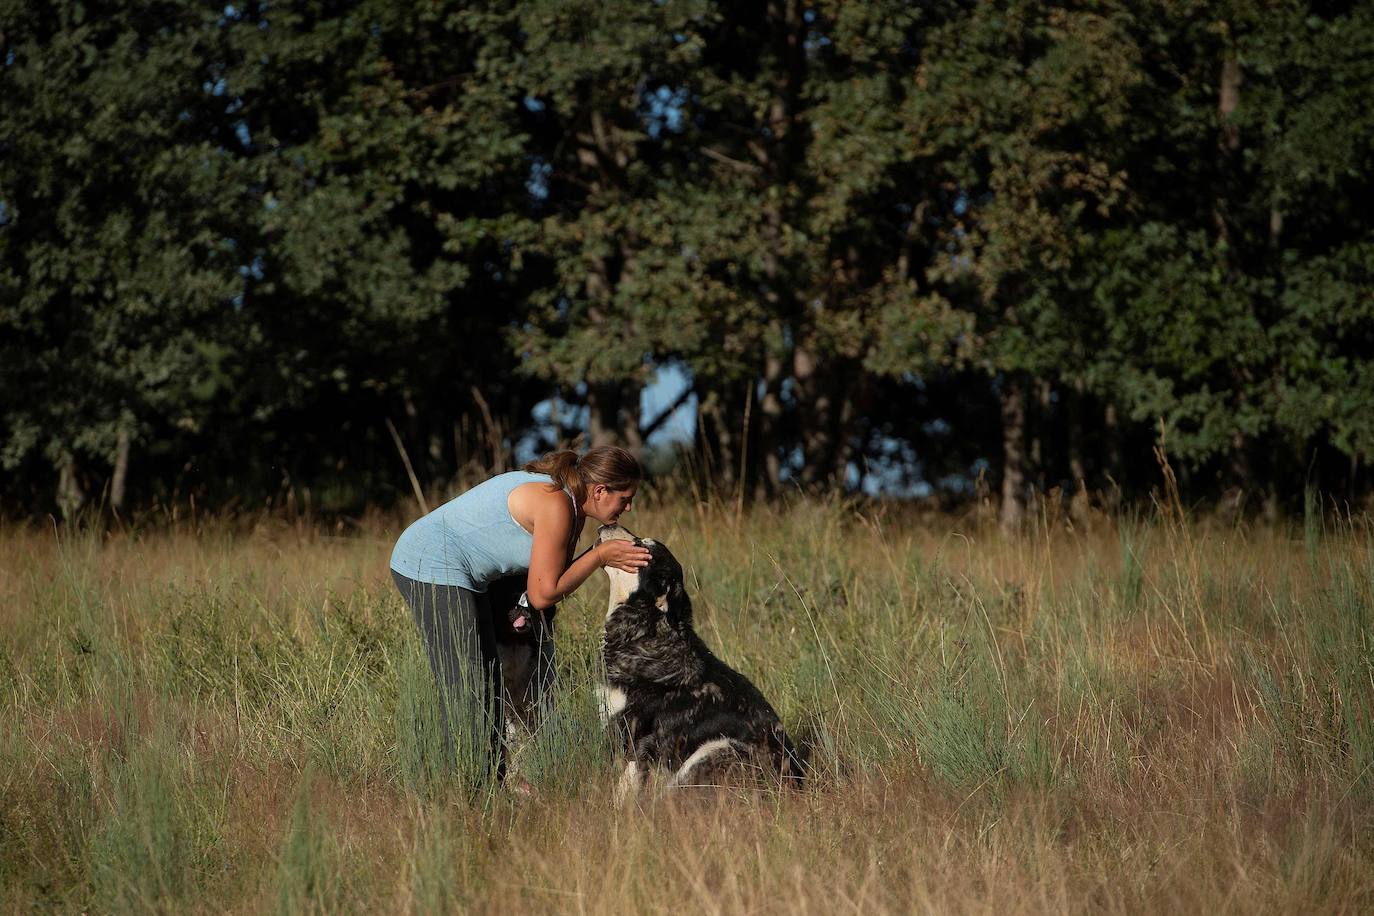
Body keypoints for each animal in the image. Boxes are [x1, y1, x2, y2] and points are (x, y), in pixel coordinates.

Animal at [593, 521, 802, 802]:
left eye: (641, 544)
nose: (609, 522)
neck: (646, 630)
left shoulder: (638, 737)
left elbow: (624, 787)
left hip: (716, 748)